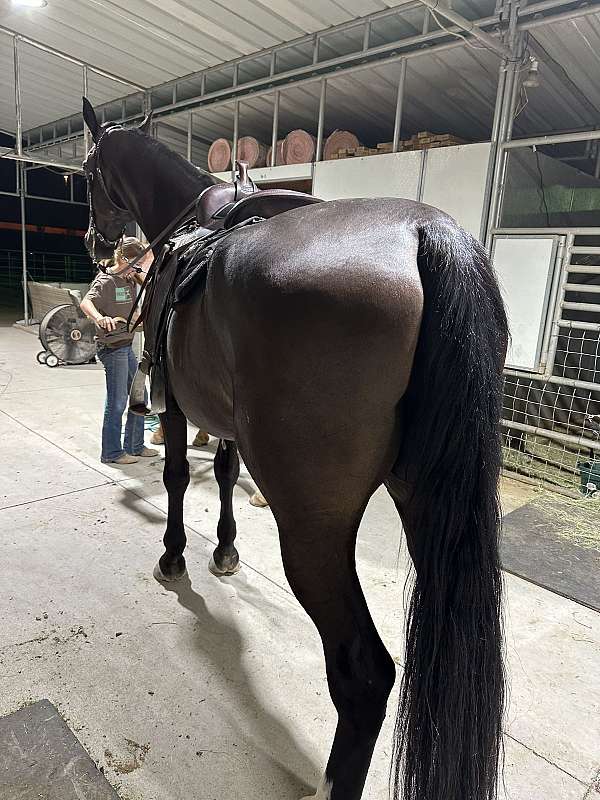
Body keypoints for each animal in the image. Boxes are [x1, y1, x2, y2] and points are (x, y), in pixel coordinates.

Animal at [82, 100, 508, 800]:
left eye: (88, 175)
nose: (97, 241)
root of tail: (426, 235)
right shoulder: (222, 421)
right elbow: (224, 471)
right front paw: (225, 550)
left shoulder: (176, 408)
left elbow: (177, 479)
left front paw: (175, 557)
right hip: (434, 513)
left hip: (312, 532)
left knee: (364, 675)